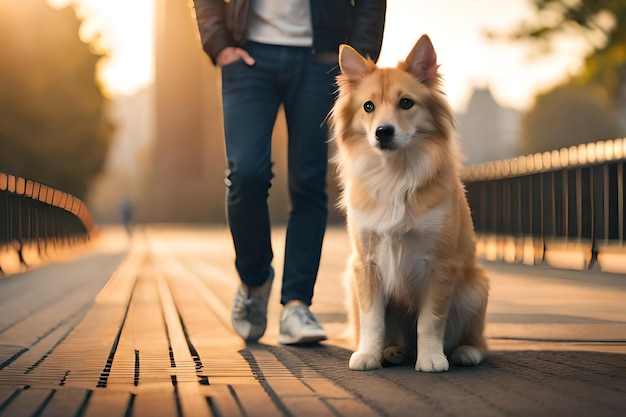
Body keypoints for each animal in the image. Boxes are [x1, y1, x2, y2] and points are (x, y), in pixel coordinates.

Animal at [326, 35, 488, 370]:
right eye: (368, 107)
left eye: (406, 103)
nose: (383, 132)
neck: (395, 172)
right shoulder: (366, 264)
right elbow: (372, 319)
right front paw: (368, 354)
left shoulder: (440, 265)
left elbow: (430, 320)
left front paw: (431, 358)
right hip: (350, 280)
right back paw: (392, 351)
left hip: (475, 289)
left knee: (478, 340)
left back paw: (465, 352)